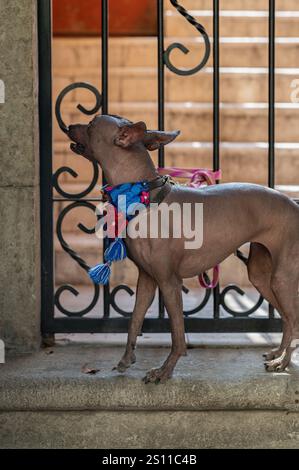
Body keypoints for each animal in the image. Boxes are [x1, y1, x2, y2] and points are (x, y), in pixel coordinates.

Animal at [68, 115, 299, 384]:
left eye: (92, 124)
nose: (69, 125)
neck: (142, 197)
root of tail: (294, 204)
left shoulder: (169, 282)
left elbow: (177, 335)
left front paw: (164, 371)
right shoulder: (147, 280)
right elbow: (134, 321)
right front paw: (126, 359)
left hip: (282, 279)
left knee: (294, 319)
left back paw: (283, 362)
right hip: (261, 276)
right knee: (288, 318)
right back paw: (279, 353)